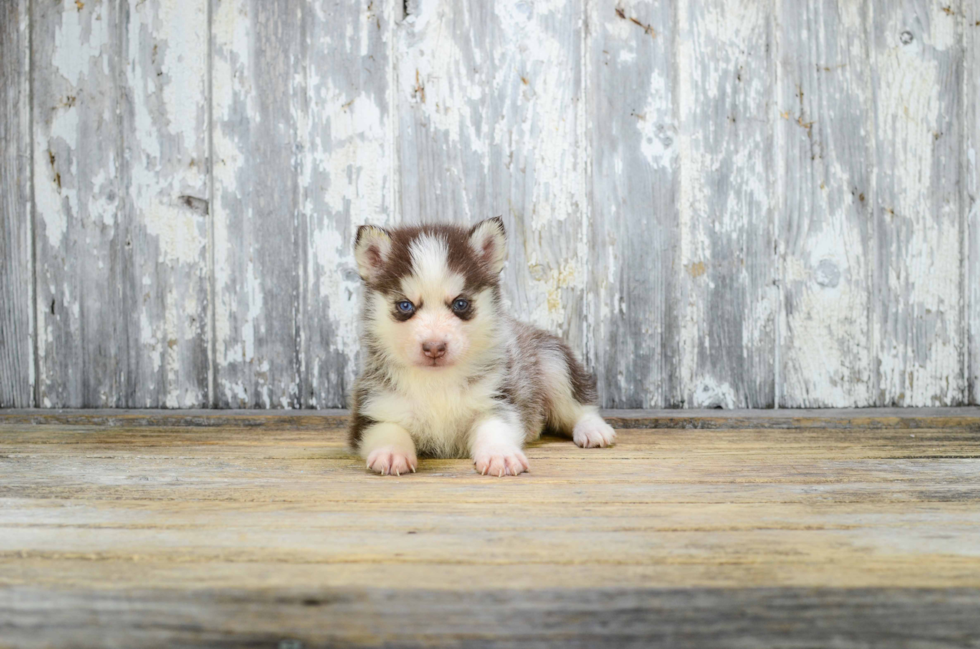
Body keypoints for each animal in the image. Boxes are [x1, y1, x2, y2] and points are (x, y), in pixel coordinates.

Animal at [348, 218, 616, 476]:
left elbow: (494, 428)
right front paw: (391, 453)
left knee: (579, 405)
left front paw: (500, 455)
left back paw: (593, 429)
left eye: (460, 304)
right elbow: (389, 430)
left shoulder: (497, 400)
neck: (437, 382)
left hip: (553, 362)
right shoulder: (372, 410)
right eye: (405, 306)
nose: (434, 347)